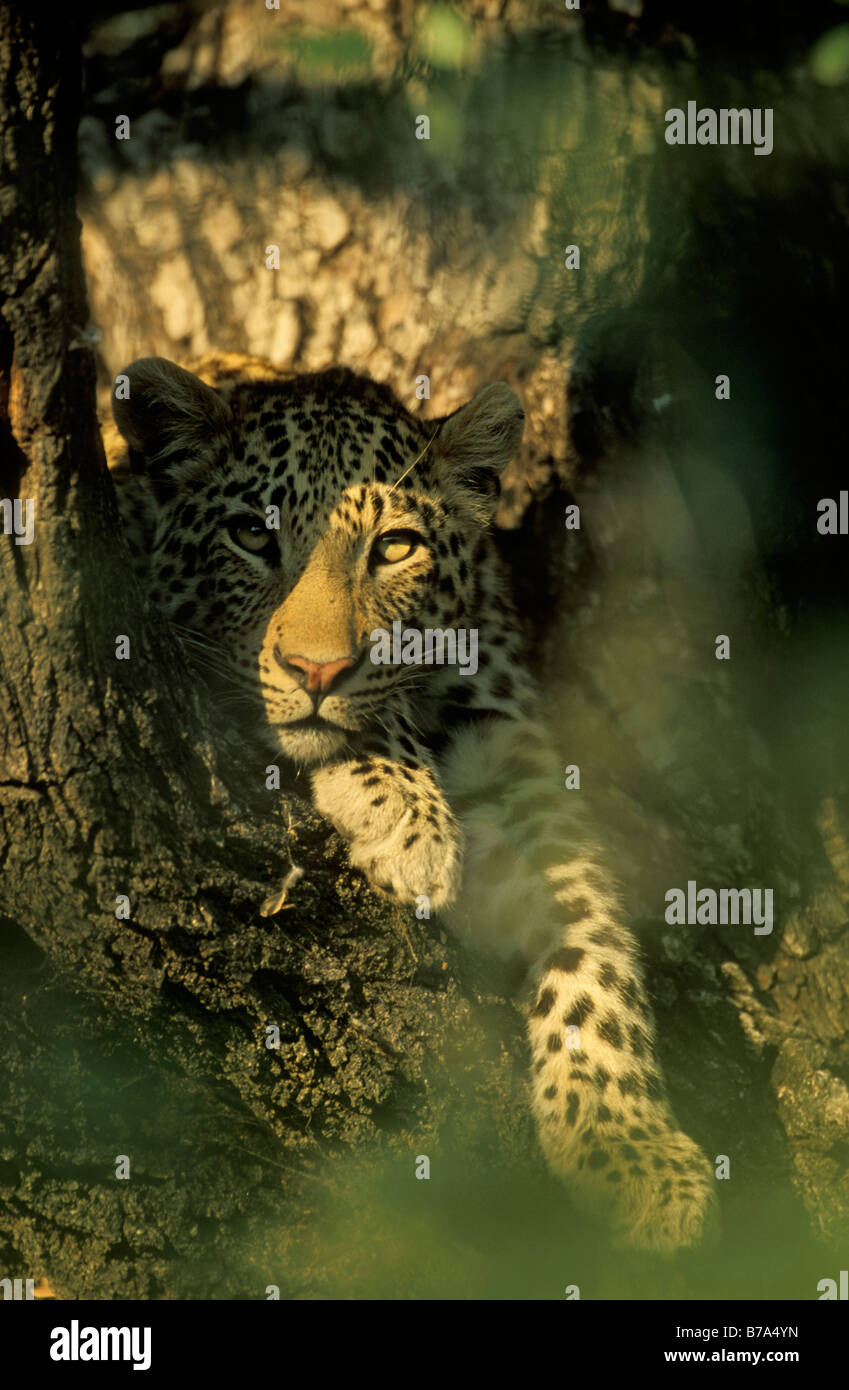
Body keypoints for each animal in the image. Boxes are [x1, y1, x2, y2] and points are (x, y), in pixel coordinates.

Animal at [105, 350, 717, 1254]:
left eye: (394, 548)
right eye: (251, 535)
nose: (316, 670)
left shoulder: (521, 774)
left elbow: (593, 945)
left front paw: (630, 1146)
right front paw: (407, 822)